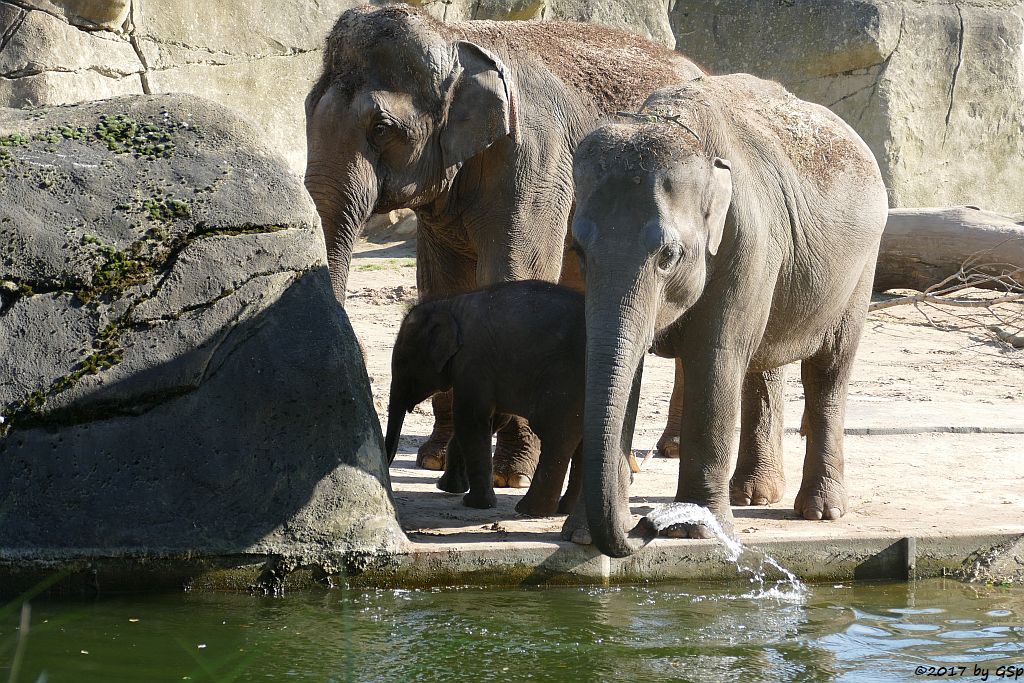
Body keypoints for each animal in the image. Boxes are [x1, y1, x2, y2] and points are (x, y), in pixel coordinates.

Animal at [303, 3, 704, 481]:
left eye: (381, 128)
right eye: (306, 110)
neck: (454, 39)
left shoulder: (536, 160)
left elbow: (514, 276)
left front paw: (510, 474)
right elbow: (443, 287)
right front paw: (435, 458)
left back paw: (669, 449)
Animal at [385, 280, 585, 516]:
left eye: (402, 360)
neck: (449, 304)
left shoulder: (473, 360)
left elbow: (469, 418)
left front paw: (476, 503)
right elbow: (493, 418)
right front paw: (449, 487)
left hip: (564, 378)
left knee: (558, 435)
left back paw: (529, 510)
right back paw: (565, 509)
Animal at [569, 74, 888, 557]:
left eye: (669, 256)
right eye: (578, 251)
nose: (642, 526)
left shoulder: (747, 241)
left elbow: (714, 358)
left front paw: (696, 530)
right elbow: (623, 368)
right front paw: (582, 535)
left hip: (860, 270)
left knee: (828, 369)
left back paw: (820, 511)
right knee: (762, 366)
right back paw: (753, 495)